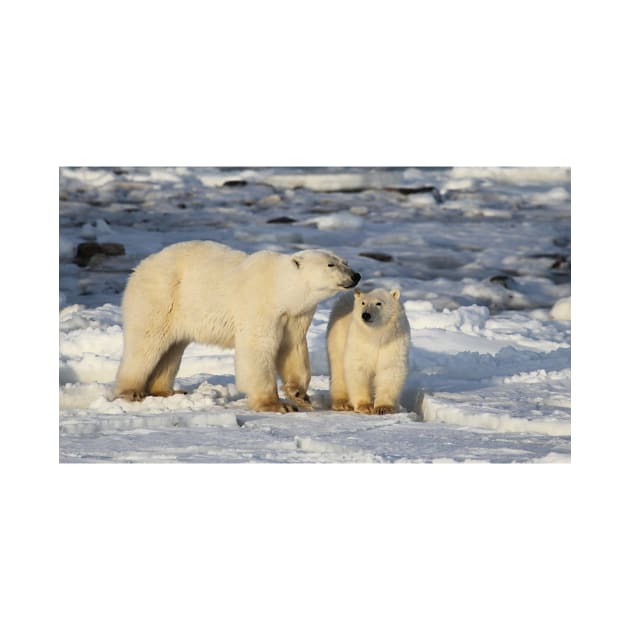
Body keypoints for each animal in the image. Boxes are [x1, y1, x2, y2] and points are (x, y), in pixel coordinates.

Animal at [113, 239, 360, 412]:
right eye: (331, 264)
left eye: (345, 262)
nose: (356, 275)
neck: (280, 288)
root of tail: (141, 266)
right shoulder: (260, 305)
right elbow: (257, 348)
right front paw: (276, 404)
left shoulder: (295, 315)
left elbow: (293, 348)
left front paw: (299, 395)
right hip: (161, 296)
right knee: (146, 342)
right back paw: (132, 391)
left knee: (172, 349)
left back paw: (167, 391)